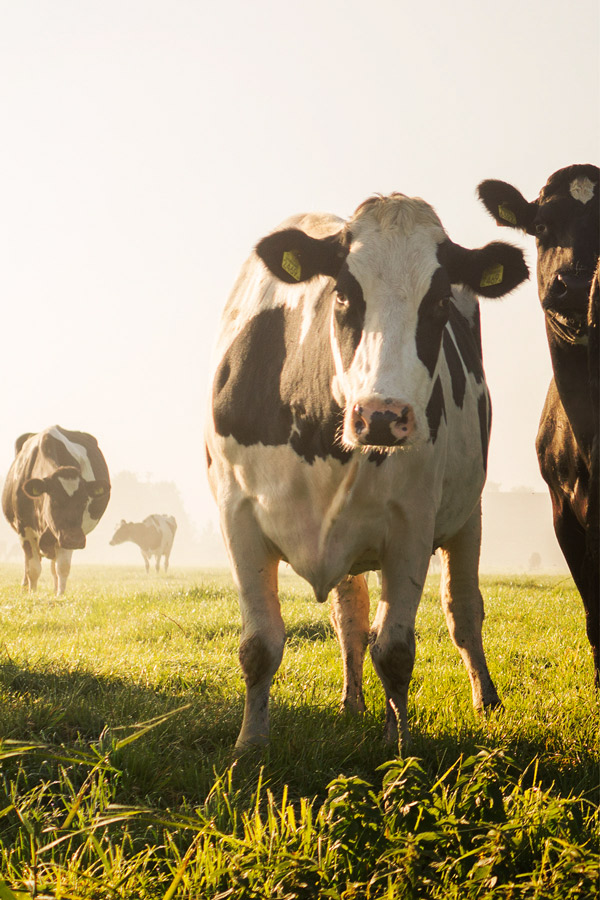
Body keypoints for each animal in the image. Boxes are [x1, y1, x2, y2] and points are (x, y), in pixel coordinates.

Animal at [2, 426, 111, 596]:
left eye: (84, 501)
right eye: (54, 501)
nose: (75, 540)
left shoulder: (65, 534)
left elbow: (62, 568)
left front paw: (60, 596)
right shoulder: (24, 529)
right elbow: (33, 568)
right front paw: (32, 594)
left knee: (54, 567)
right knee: (28, 564)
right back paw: (25, 586)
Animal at [207, 193, 528, 748]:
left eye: (438, 302)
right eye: (342, 294)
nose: (382, 415)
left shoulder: (411, 526)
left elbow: (396, 651)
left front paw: (399, 748)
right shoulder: (237, 514)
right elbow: (260, 644)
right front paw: (249, 745)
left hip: (468, 515)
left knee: (463, 610)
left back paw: (483, 700)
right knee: (352, 618)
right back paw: (352, 704)